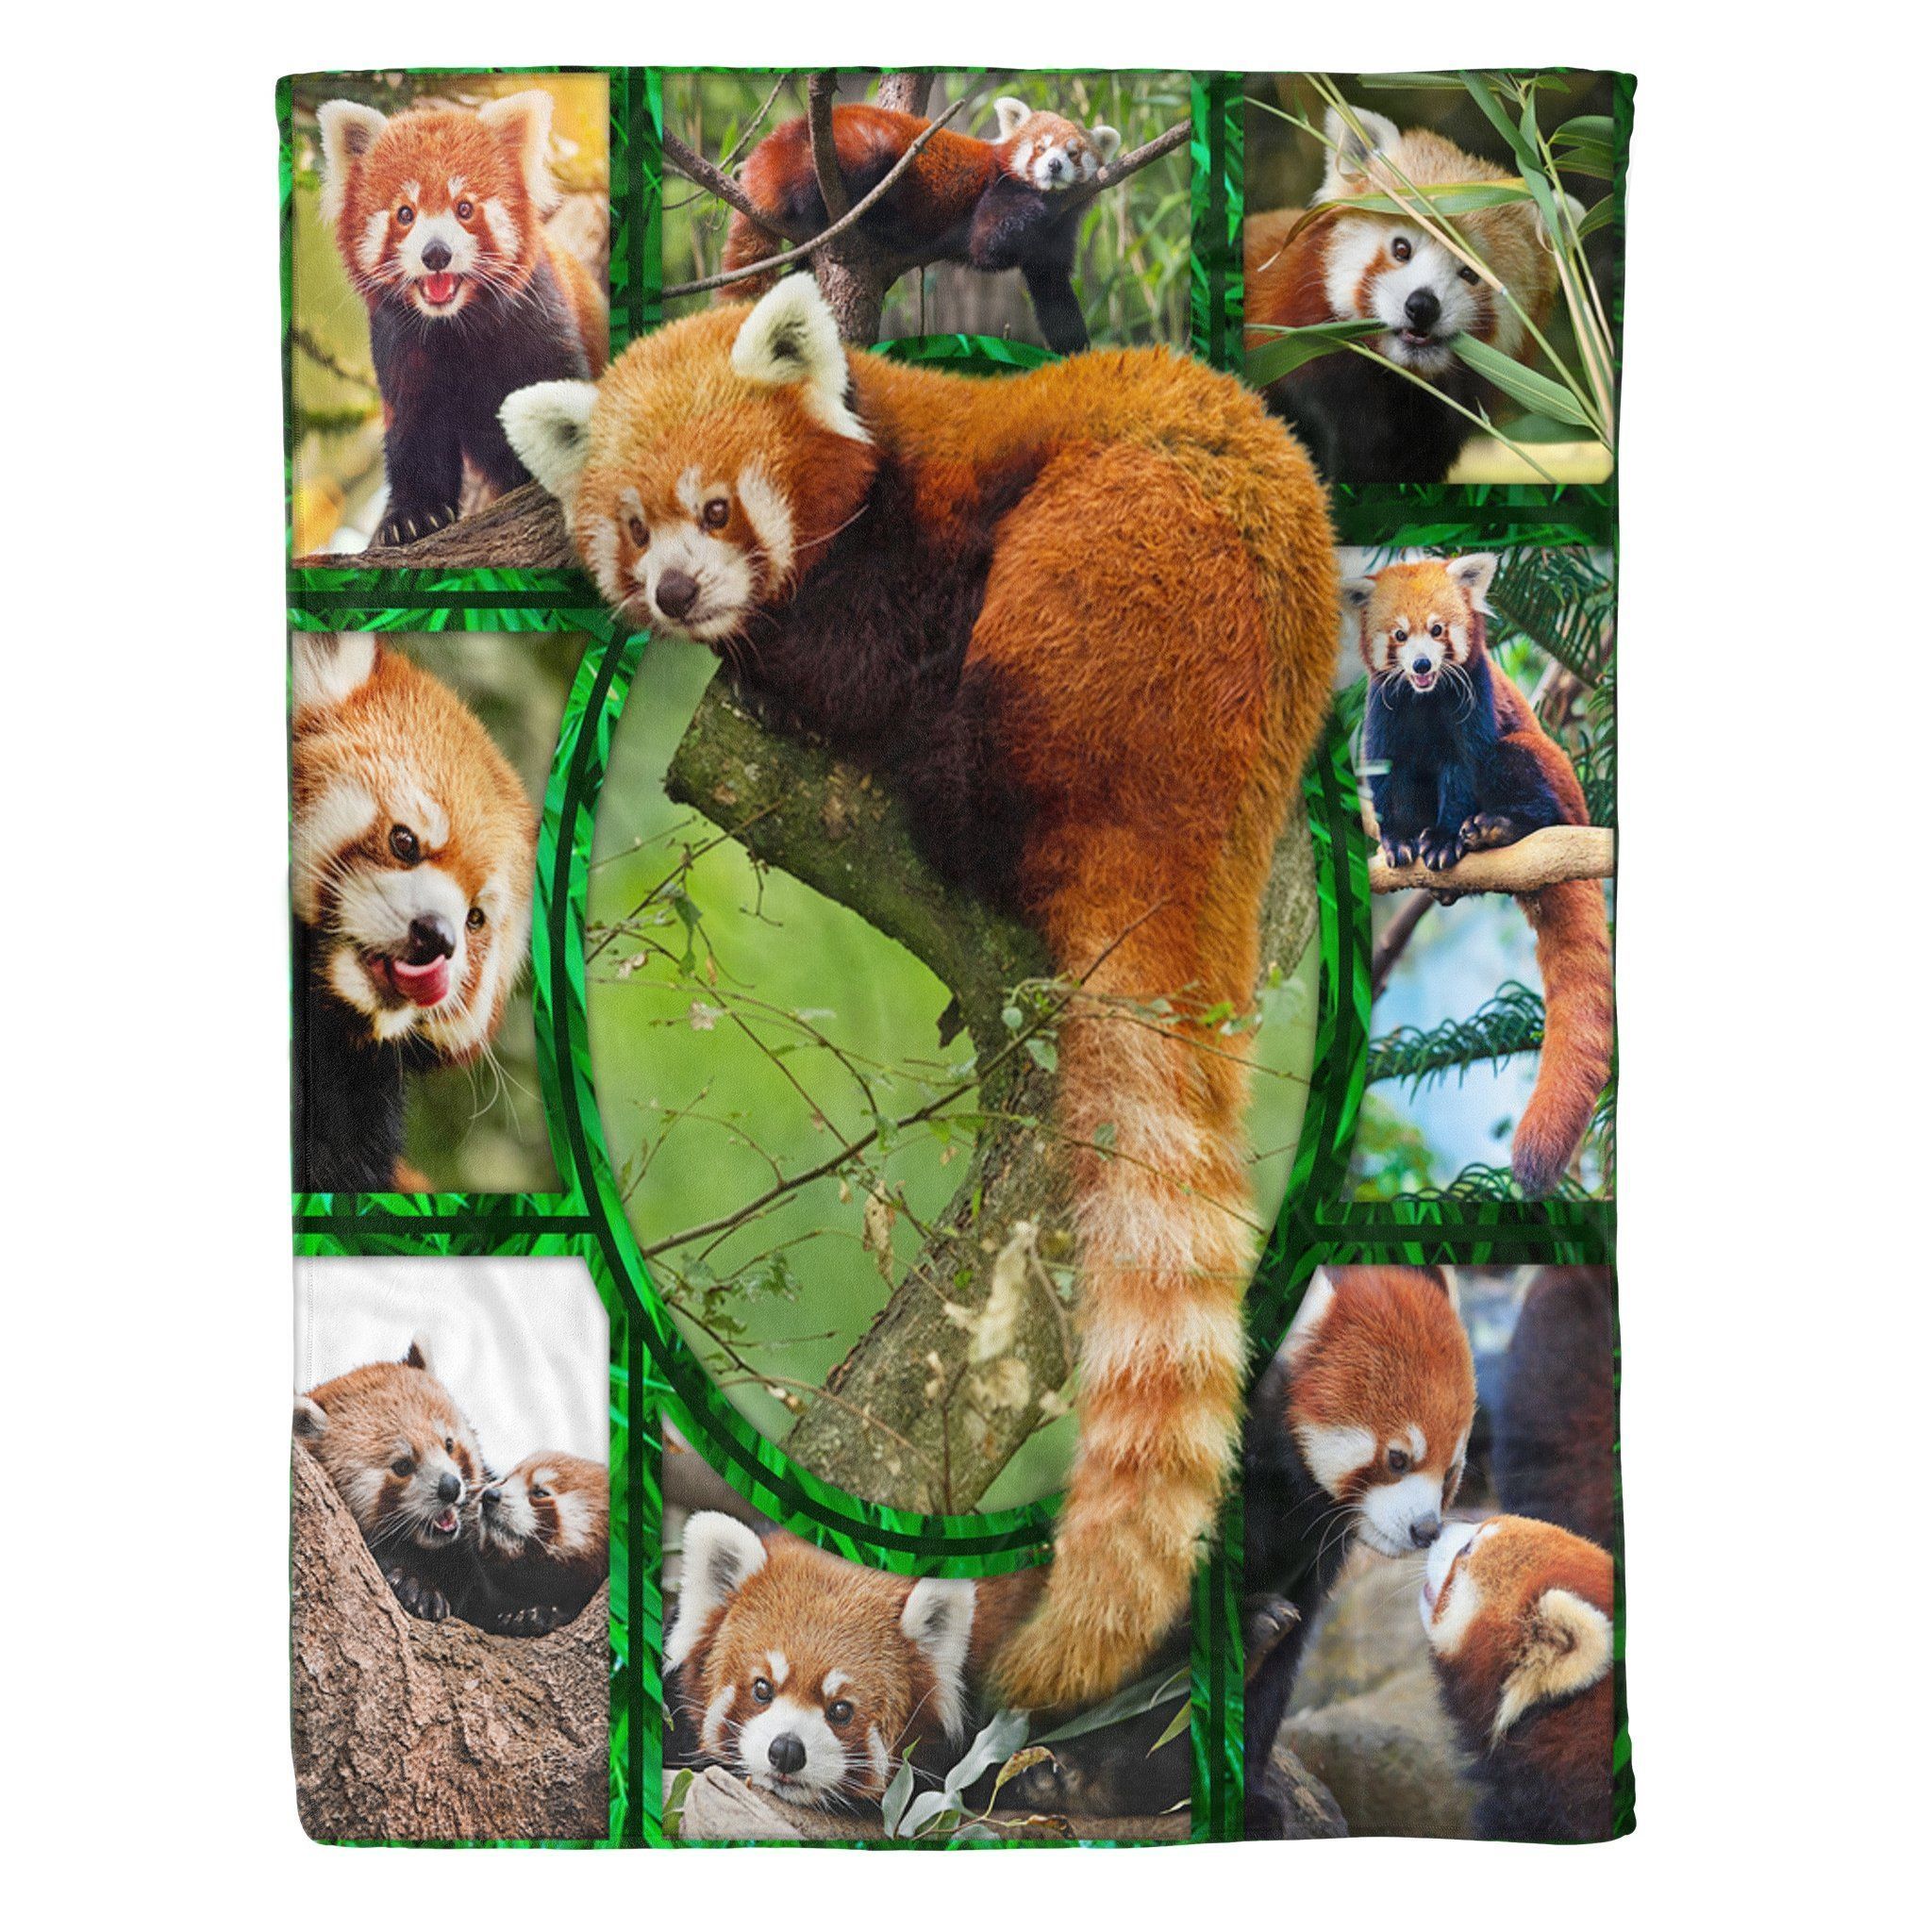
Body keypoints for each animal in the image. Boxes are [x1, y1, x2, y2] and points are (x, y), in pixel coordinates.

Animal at [315, 88, 608, 547]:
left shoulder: (541, 317)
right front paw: (413, 515)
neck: (455, 325)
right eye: (405, 213)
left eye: (464, 208)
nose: (436, 254)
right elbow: (414, 431)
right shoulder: (401, 349)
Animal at [500, 276, 1338, 1713]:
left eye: (715, 510)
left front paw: (782, 669)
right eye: (632, 524)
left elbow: (865, 643)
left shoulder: (925, 531)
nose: (674, 590)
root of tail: (1220, 787)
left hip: (1109, 578)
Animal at [721, 97, 1120, 354]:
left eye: (1073, 153)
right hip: (849, 148)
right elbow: (987, 247)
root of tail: (777, 140)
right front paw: (1039, 199)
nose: (1054, 166)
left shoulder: (1058, 239)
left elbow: (1053, 290)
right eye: (1040, 147)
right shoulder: (998, 192)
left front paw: (1077, 350)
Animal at [1242, 1265, 1476, 1837]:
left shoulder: (1314, 1558)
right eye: (1398, 1458)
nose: (1425, 1530)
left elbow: (1279, 1670)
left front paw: (1251, 1794)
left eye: (1450, 1472)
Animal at [1345, 552, 1614, 1194]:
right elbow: (1391, 783)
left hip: (1541, 766)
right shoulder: (1383, 717)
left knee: (1514, 771)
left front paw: (1445, 841)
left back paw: (1497, 829)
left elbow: (1462, 768)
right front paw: (1401, 842)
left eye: (1439, 630)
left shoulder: (1475, 702)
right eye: (1399, 636)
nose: (1422, 665)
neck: (1423, 701)